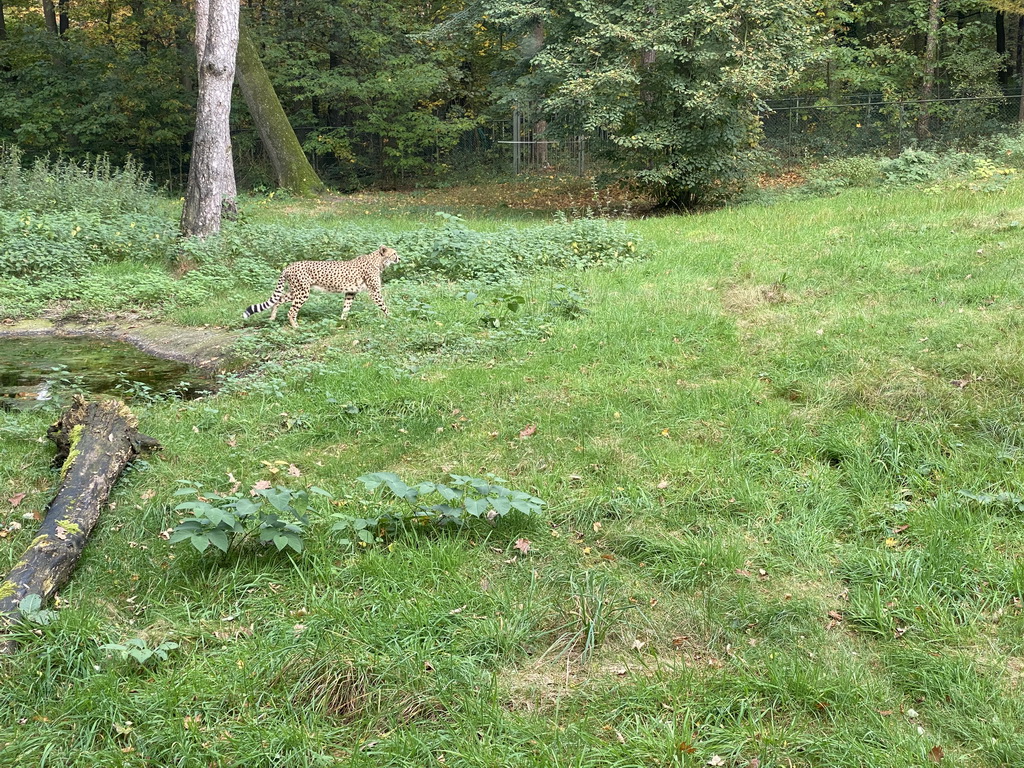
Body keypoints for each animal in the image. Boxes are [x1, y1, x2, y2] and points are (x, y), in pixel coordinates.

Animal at [243, 246, 399, 327]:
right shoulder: (374, 291)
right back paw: (296, 327)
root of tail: (289, 266)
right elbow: (384, 306)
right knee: (291, 311)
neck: (378, 261)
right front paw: (393, 318)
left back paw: (272, 318)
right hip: (302, 292)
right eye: (394, 253)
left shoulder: (350, 292)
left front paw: (341, 322)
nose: (399, 258)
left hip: (296, 291)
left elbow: (346, 308)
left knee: (279, 299)